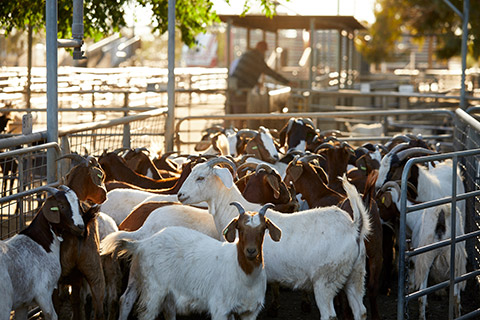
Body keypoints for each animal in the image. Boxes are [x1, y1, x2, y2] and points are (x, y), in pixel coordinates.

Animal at [0, 185, 85, 320]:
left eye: (78, 204)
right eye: (61, 206)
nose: (81, 226)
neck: (41, 243)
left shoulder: (23, 302)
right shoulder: (44, 293)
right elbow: (52, 315)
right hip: (4, 303)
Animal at [103, 202, 280, 320]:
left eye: (263, 229)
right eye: (240, 229)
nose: (251, 251)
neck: (245, 275)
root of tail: (143, 242)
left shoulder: (249, 311)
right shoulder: (220, 308)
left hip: (149, 280)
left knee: (134, 301)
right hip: (154, 289)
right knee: (146, 312)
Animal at [176, 156, 372, 318]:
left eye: (201, 178)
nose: (180, 195)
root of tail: (354, 226)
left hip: (326, 279)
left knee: (329, 314)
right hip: (356, 274)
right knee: (361, 310)